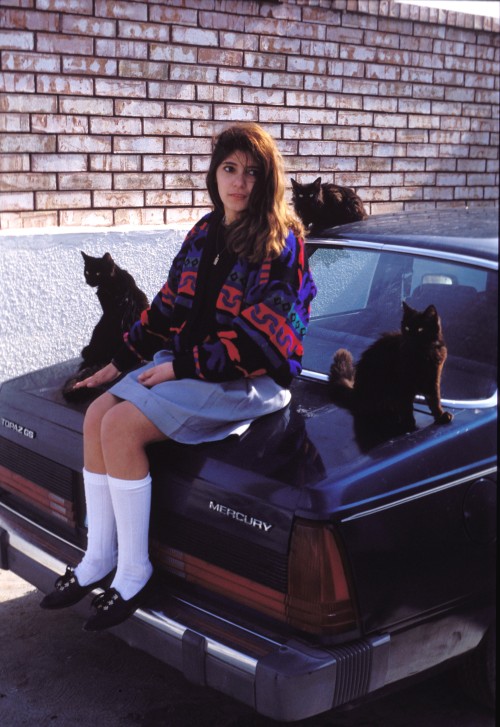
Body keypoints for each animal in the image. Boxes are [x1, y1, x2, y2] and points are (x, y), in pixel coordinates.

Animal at [328, 302, 454, 450]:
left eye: (420, 329)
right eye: (407, 328)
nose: (409, 336)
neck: (422, 354)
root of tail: (356, 393)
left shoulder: (433, 379)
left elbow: (434, 400)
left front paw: (440, 416)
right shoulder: (404, 385)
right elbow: (407, 407)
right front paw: (409, 424)